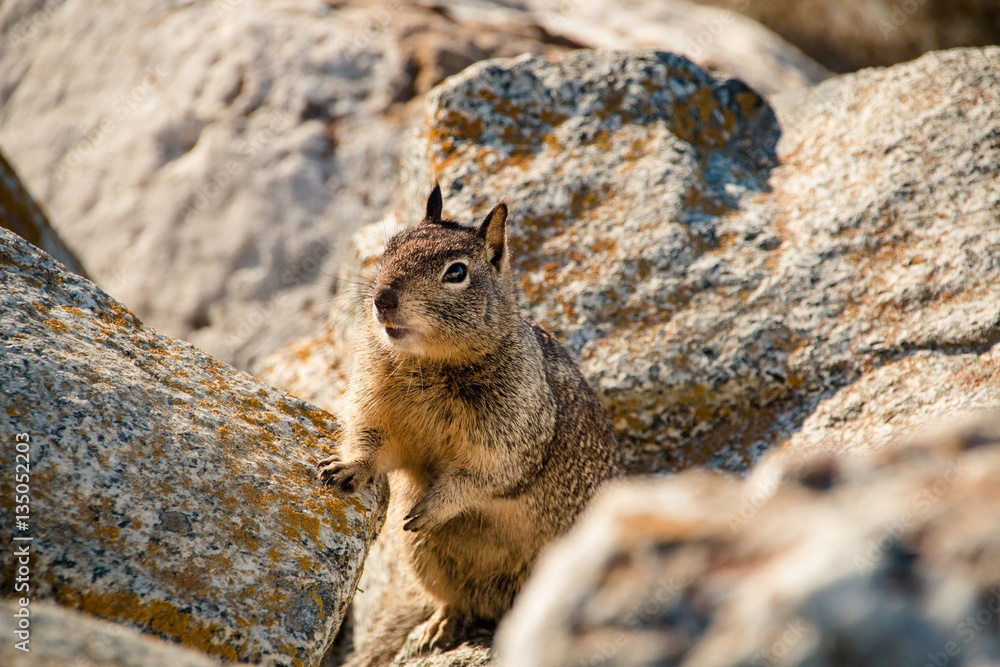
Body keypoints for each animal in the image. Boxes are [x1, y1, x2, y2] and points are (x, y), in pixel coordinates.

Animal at [318, 183, 622, 665]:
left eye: (456, 272)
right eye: (389, 248)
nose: (382, 299)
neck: (431, 362)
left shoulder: (509, 441)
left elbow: (479, 479)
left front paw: (430, 506)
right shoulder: (375, 407)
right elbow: (371, 443)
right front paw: (347, 468)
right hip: (422, 558)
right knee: (456, 600)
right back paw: (437, 626)